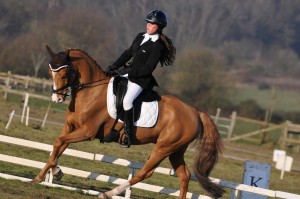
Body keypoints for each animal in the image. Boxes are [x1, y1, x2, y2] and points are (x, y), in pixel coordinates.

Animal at [31, 45, 225, 198]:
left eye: (64, 73)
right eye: (50, 72)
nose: (57, 99)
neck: (91, 92)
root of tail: (195, 111)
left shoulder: (87, 132)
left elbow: (59, 143)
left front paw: (50, 174)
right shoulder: (70, 128)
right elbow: (58, 146)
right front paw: (49, 174)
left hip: (164, 147)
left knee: (145, 173)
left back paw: (108, 193)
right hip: (176, 150)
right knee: (184, 176)